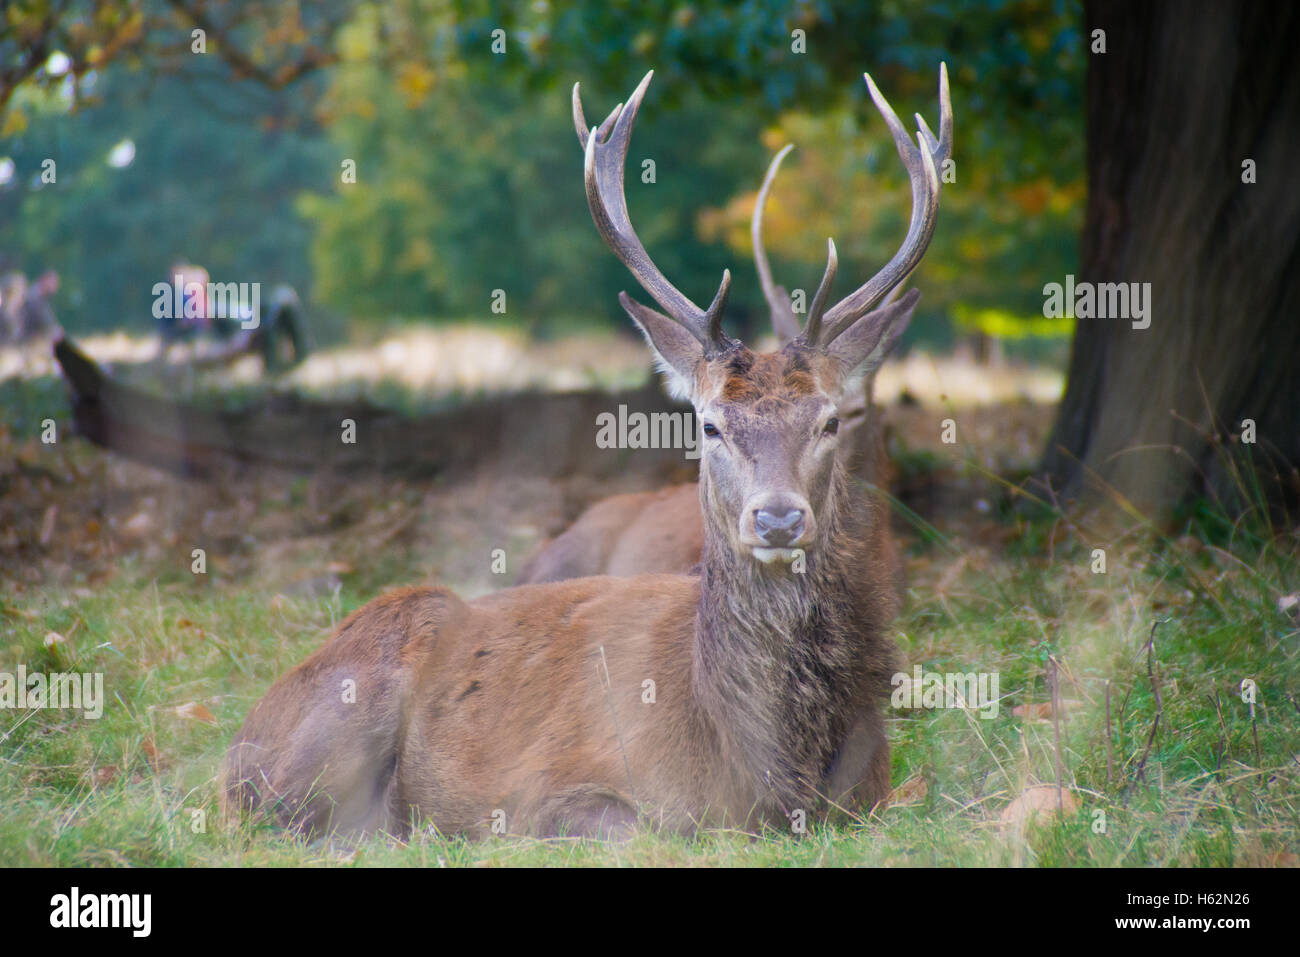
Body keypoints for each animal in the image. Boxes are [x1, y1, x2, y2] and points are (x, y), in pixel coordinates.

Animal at [220, 65, 956, 837]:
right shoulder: (548, 789)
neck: (758, 768)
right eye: (709, 424)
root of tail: (239, 739)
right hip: (342, 714)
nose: (777, 518)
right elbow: (637, 824)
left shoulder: (876, 791)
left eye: (830, 421)